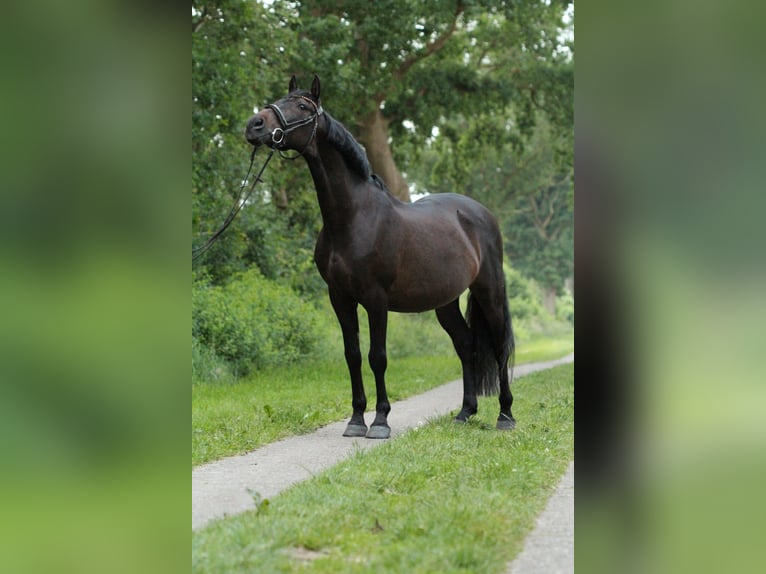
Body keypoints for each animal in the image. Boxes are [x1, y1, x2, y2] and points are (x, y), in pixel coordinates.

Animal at [249, 74, 520, 438]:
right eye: (280, 99)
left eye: (303, 106)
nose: (255, 125)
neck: (353, 218)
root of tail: (480, 213)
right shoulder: (340, 297)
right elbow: (352, 355)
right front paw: (355, 420)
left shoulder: (376, 299)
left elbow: (377, 356)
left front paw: (379, 421)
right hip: (445, 302)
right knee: (467, 346)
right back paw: (465, 412)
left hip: (489, 289)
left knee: (500, 345)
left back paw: (505, 415)